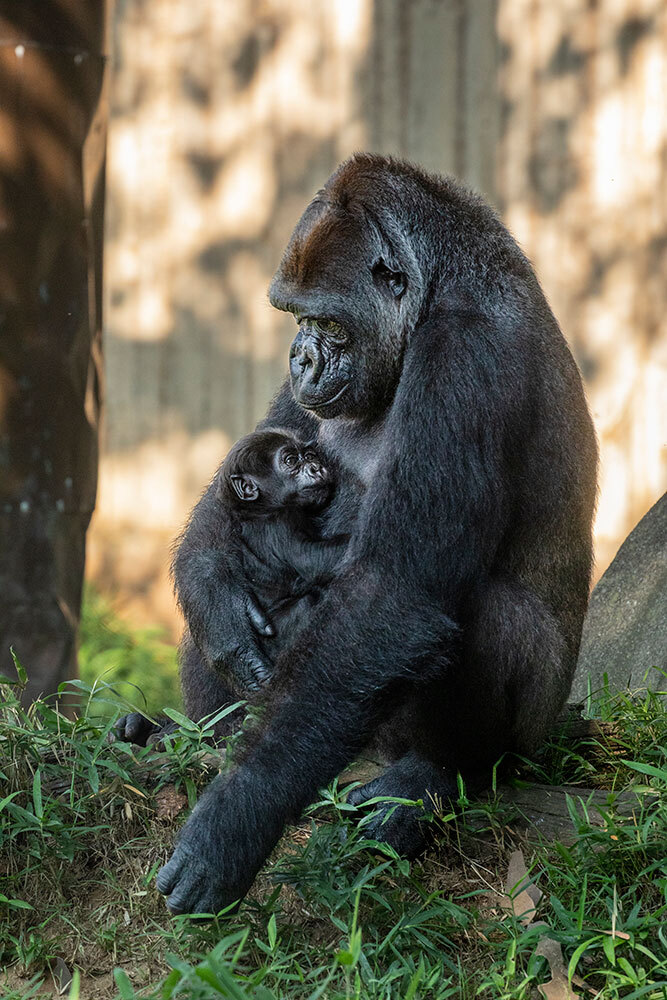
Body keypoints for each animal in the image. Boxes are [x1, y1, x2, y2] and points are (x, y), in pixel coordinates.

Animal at [220, 426, 352, 668]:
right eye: (290, 461)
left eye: (309, 456)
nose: (315, 467)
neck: (259, 509)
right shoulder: (282, 521)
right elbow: (312, 559)